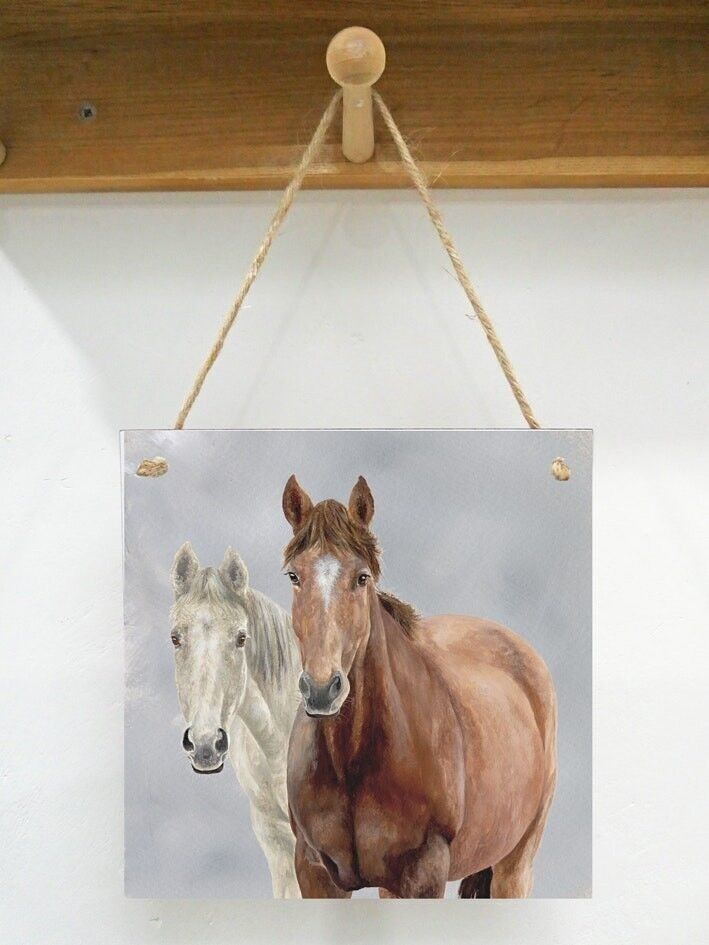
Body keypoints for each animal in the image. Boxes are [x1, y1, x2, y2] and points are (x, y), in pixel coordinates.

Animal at [280, 475, 557, 899]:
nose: (322, 689)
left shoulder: (424, 874)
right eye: (295, 576)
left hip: (514, 865)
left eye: (362, 577)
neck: (354, 760)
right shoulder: (314, 872)